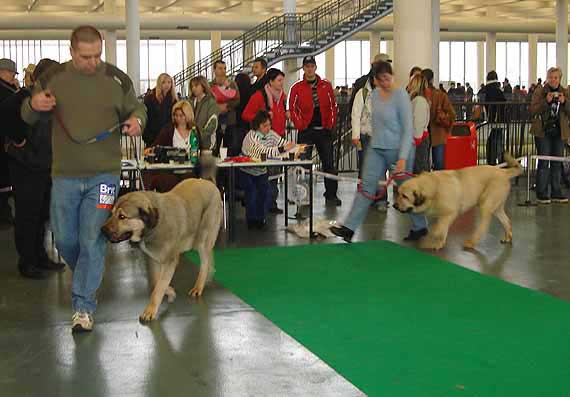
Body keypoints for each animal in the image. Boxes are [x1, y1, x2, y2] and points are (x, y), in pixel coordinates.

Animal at [101, 178, 221, 320]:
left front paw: (150, 310)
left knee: (204, 262)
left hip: (203, 237)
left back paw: (199, 286)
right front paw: (170, 292)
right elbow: (156, 282)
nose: (102, 230)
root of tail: (209, 182)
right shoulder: (154, 259)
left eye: (122, 217)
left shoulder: (169, 262)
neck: (154, 225)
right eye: (112, 214)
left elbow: (158, 287)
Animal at [392, 153, 520, 249]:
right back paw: (507, 237)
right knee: (506, 221)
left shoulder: (450, 213)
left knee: (483, 226)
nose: (394, 206)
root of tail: (503, 172)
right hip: (496, 207)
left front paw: (434, 241)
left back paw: (471, 242)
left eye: (405, 196)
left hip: (485, 205)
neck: (434, 188)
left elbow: (439, 228)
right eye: (398, 193)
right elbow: (440, 228)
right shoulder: (442, 215)